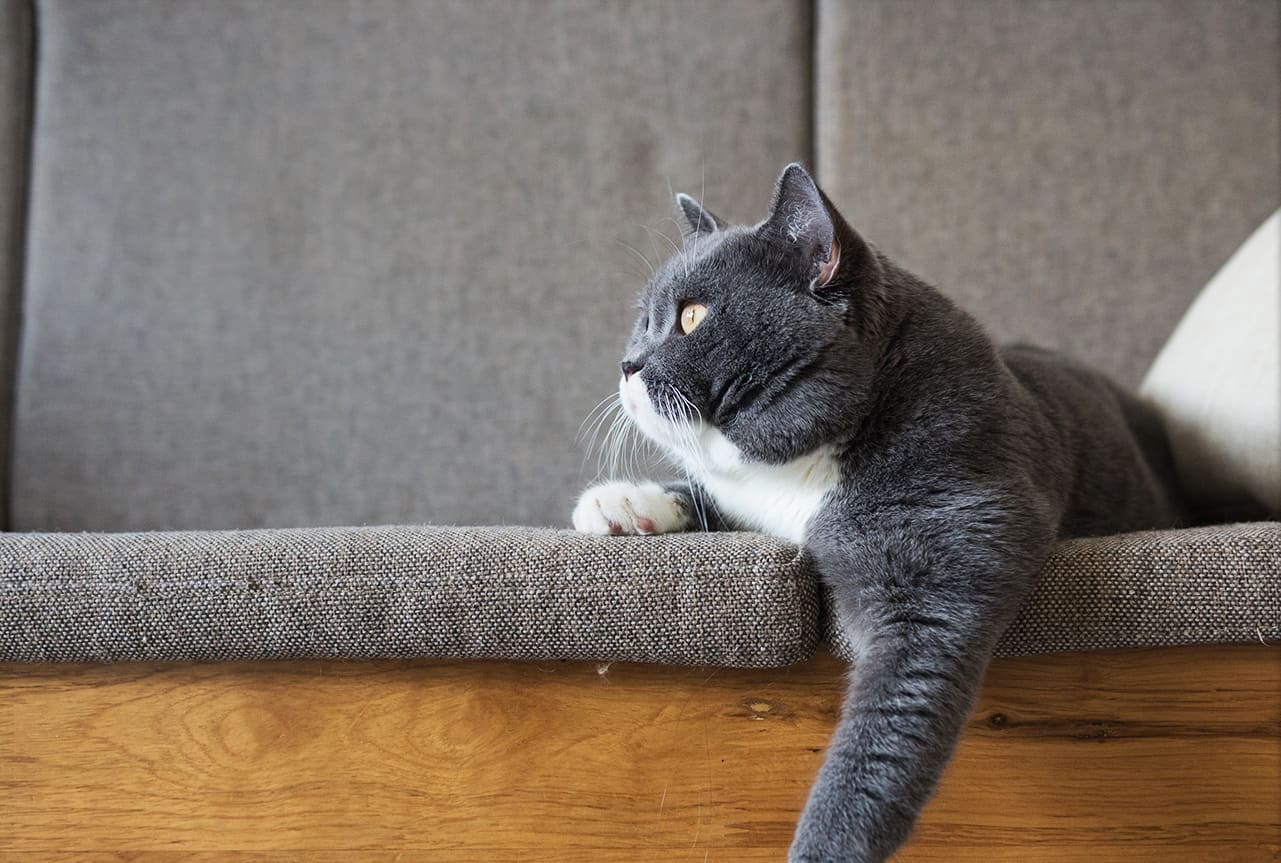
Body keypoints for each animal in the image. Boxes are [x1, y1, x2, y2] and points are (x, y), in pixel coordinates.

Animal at [576, 163, 1183, 860]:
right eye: (644, 320)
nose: (627, 363)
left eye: (692, 317)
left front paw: (826, 845)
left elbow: (891, 721)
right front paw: (620, 502)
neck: (807, 464)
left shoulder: (948, 532)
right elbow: (711, 498)